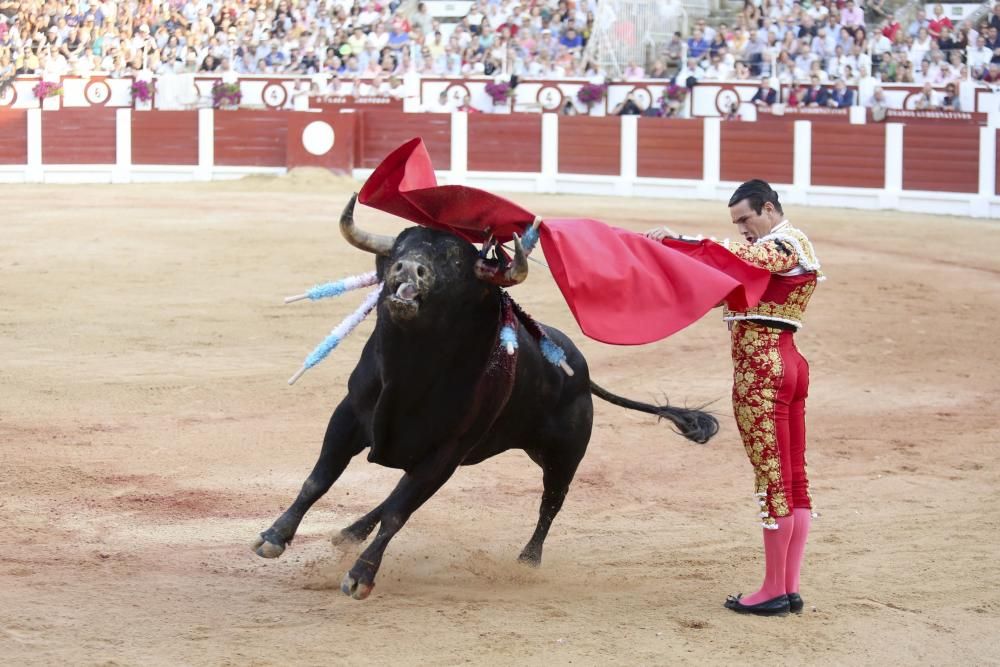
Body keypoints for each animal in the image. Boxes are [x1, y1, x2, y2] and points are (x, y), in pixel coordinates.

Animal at [252, 197, 720, 600]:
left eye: (454, 261)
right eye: (400, 246)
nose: (408, 269)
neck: (409, 371)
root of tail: (582, 370)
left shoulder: (445, 451)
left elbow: (399, 512)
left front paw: (361, 577)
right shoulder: (349, 416)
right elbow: (319, 480)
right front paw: (273, 537)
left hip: (563, 457)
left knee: (550, 503)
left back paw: (528, 561)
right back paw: (348, 533)